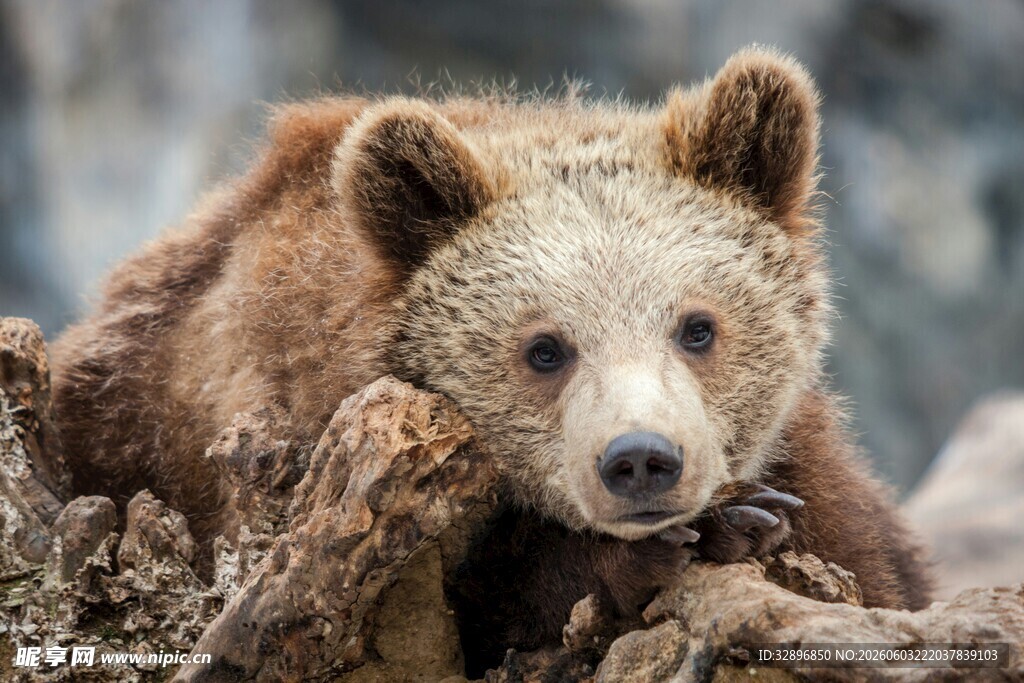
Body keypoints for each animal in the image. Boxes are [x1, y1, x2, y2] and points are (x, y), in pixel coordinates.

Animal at [50, 47, 931, 672]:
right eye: (545, 348)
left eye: (697, 327)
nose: (641, 459)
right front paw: (707, 530)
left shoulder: (822, 478)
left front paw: (740, 517)